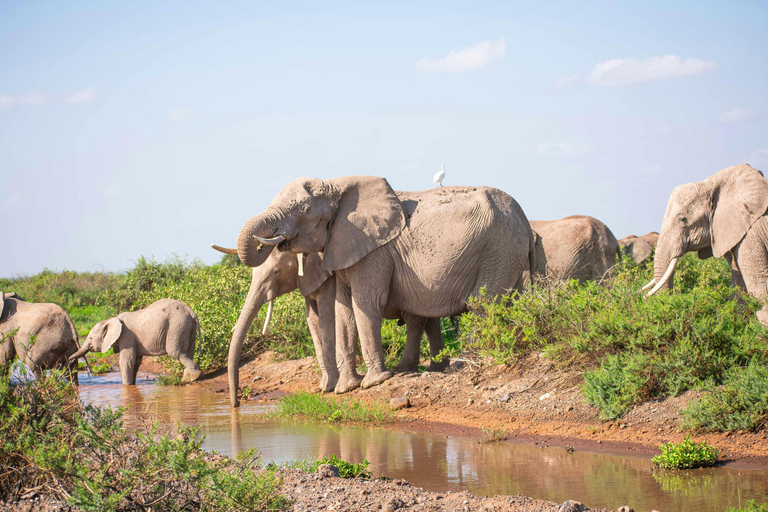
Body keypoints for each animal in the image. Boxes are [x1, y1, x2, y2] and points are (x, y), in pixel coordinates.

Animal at [68, 298, 202, 386]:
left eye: (90, 338)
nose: (68, 360)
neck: (111, 319)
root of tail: (192, 312)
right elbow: (136, 362)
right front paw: (132, 384)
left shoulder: (126, 336)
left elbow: (126, 361)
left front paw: (126, 387)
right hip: (186, 326)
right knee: (189, 351)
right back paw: (189, 376)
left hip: (177, 326)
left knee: (176, 352)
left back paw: (192, 377)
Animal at [210, 240, 448, 404]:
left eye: (277, 271)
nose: (236, 404)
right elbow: (312, 321)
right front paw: (324, 387)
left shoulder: (329, 278)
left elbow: (327, 317)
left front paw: (332, 386)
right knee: (429, 320)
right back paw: (438, 368)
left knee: (416, 320)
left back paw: (409, 368)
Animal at [234, 176, 536, 400]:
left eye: (305, 211)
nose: (237, 400)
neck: (337, 186)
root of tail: (526, 219)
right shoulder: (344, 248)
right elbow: (344, 310)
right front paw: (346, 388)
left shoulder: (374, 252)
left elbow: (366, 303)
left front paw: (373, 382)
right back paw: (414, 369)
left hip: (499, 249)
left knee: (481, 305)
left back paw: (463, 366)